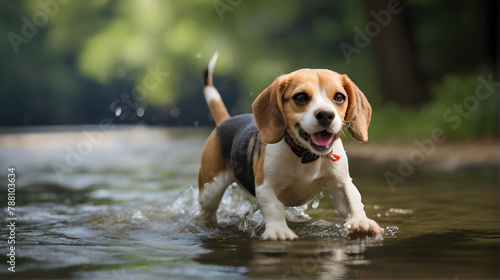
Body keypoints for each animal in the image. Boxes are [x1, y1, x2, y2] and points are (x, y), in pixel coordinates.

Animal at [198, 53, 382, 241]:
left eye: (339, 97)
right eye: (300, 97)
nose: (326, 115)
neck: (305, 155)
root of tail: (226, 120)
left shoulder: (341, 181)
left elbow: (353, 198)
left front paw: (361, 222)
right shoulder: (265, 186)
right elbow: (274, 207)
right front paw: (279, 231)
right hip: (210, 190)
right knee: (207, 211)